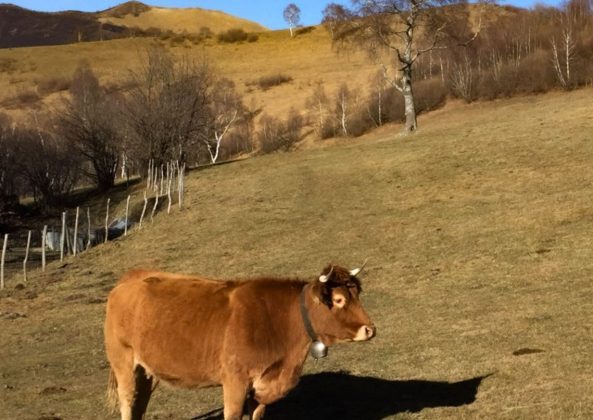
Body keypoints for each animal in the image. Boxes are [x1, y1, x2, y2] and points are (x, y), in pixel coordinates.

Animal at [103, 264, 372, 418]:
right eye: (338, 300)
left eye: (357, 294)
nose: (370, 329)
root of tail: (131, 277)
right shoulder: (235, 381)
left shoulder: (261, 388)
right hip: (123, 362)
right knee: (128, 402)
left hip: (146, 370)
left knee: (140, 403)